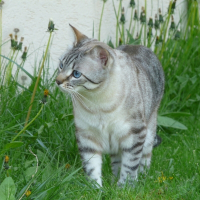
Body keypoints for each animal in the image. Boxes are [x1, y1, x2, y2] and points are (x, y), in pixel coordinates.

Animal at [55, 25, 165, 188]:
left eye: (76, 74)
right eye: (61, 65)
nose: (57, 81)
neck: (98, 103)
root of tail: (138, 45)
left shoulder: (135, 134)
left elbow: (130, 167)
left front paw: (125, 188)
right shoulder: (86, 136)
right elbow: (92, 167)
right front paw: (95, 188)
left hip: (148, 131)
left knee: (145, 157)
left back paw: (142, 178)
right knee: (116, 160)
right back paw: (113, 182)